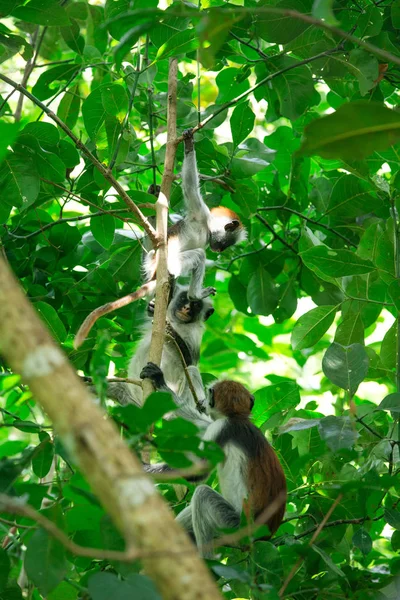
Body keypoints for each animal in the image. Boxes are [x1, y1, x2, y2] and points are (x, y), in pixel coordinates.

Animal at [139, 360, 286, 556]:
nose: (203, 402)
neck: (236, 418)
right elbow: (203, 424)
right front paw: (159, 381)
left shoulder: (221, 428)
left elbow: (199, 472)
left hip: (235, 527)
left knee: (202, 495)